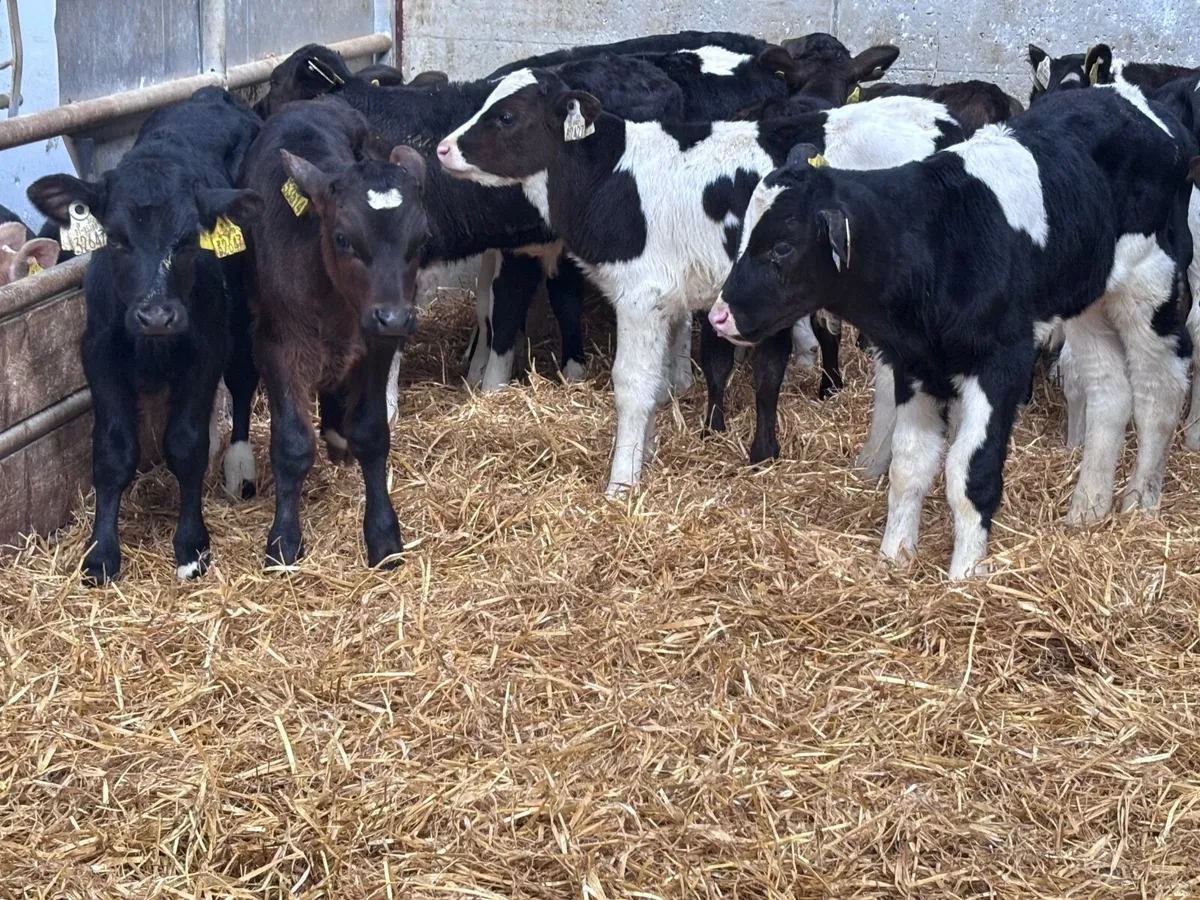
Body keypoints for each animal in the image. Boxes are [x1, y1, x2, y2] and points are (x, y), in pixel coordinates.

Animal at [27, 87, 263, 585]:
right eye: (115, 239)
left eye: (190, 240)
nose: (156, 315)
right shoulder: (99, 353)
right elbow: (113, 451)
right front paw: (101, 552)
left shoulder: (206, 349)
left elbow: (186, 443)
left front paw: (192, 545)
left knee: (242, 380)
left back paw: (239, 465)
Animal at [239, 97, 428, 570]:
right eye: (343, 238)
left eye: (421, 239)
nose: (394, 316)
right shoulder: (274, 346)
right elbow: (292, 445)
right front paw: (283, 541)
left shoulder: (376, 341)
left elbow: (372, 433)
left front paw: (383, 536)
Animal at [435, 68, 963, 487]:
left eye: (506, 116)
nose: (442, 147)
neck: (611, 176)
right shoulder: (666, 298)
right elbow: (656, 386)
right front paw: (644, 454)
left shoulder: (639, 294)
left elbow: (632, 385)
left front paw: (621, 482)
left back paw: (870, 464)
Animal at [708, 84, 1195, 579]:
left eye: (782, 248)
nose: (719, 316)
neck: (938, 240)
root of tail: (1137, 101)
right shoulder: (916, 364)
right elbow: (908, 465)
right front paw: (894, 556)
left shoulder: (1002, 363)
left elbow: (968, 473)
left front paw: (964, 573)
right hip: (1088, 301)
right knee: (1109, 391)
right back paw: (1087, 510)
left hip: (1150, 285)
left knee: (1159, 389)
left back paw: (1139, 503)